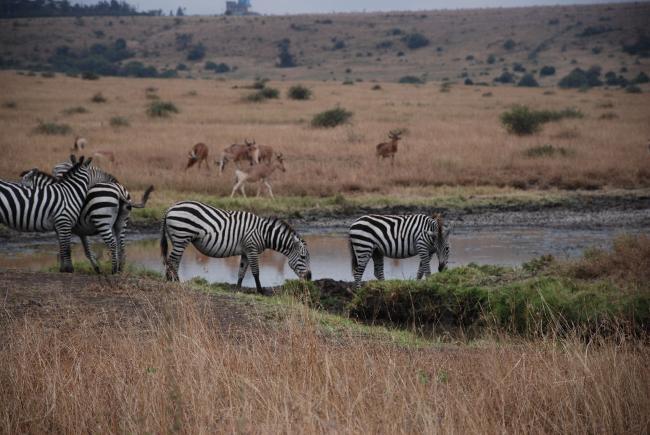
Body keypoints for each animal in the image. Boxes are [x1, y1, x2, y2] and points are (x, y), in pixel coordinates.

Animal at [20, 169, 154, 274]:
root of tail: (118, 190)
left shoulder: (61, 226)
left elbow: (63, 247)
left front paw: (64, 269)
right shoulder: (81, 231)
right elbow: (86, 251)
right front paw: (97, 268)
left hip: (102, 220)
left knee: (112, 243)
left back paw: (113, 270)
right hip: (121, 222)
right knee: (121, 245)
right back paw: (120, 269)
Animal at [162, 201, 314, 292]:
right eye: (303, 257)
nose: (309, 277)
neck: (263, 233)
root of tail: (170, 208)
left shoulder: (246, 251)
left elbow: (241, 271)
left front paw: (238, 288)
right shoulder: (252, 249)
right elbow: (255, 272)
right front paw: (260, 291)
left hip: (177, 239)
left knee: (173, 261)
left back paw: (172, 280)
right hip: (181, 237)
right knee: (172, 260)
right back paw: (174, 281)